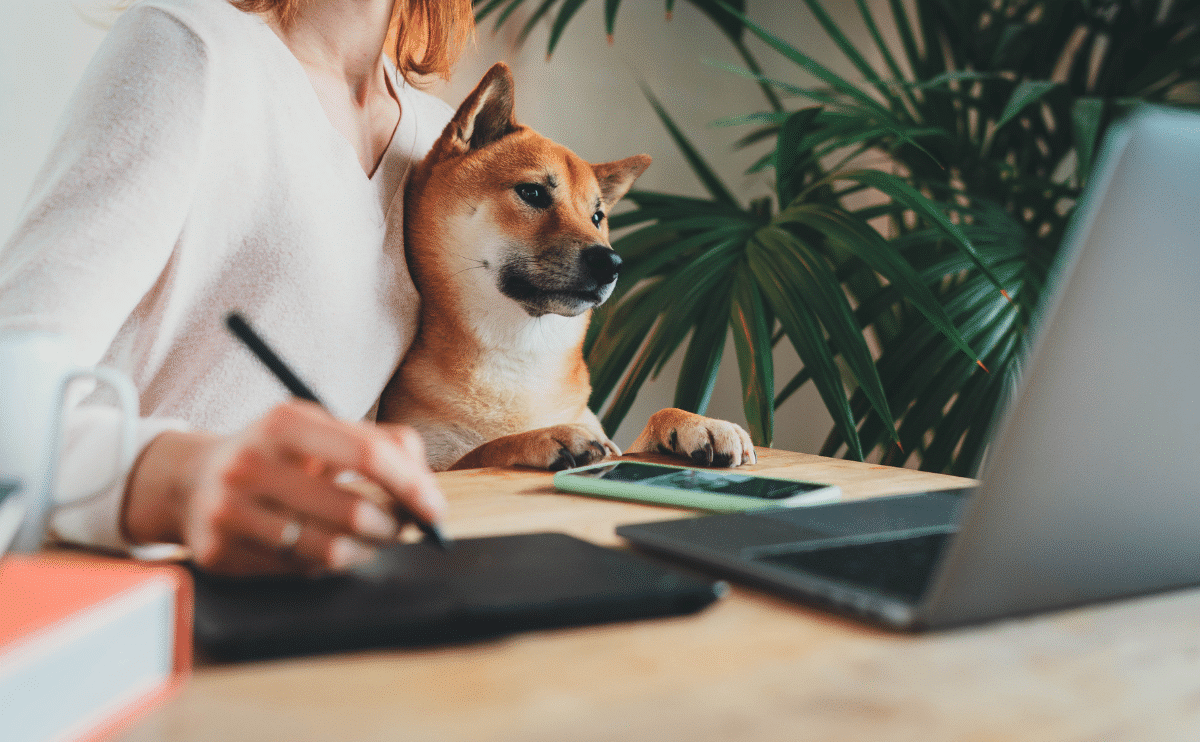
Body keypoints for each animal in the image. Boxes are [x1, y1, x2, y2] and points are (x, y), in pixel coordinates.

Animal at [379, 62, 753, 468]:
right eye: (532, 192)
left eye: (597, 216)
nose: (612, 262)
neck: (521, 358)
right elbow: (485, 450)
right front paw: (545, 436)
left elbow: (647, 428)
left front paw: (697, 423)